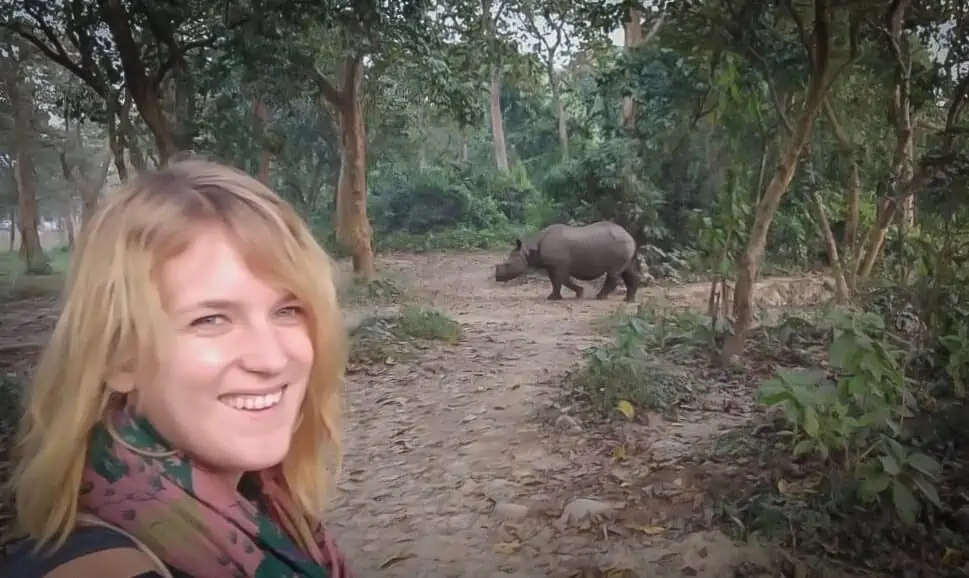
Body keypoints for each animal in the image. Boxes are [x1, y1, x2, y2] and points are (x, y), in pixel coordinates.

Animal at [492, 220, 644, 302]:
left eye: (508, 264)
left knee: (614, 272)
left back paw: (599, 297)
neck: (529, 249)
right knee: (627, 270)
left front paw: (578, 293)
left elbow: (562, 280)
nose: (496, 278)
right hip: (626, 245)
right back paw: (629, 300)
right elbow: (556, 281)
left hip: (621, 245)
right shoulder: (552, 266)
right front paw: (554, 297)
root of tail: (630, 236)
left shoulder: (558, 265)